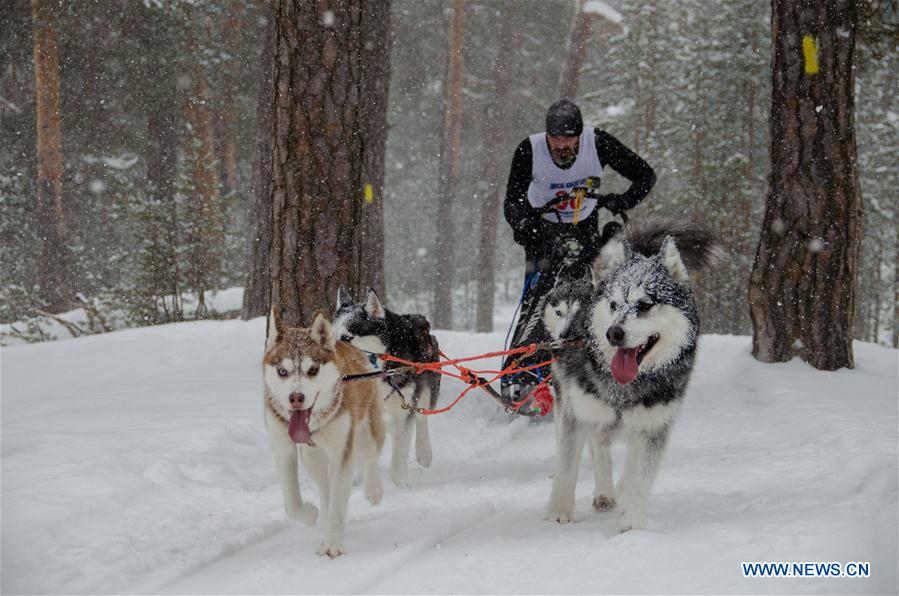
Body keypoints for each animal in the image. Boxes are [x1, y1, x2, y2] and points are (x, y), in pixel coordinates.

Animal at [262, 308, 384, 560]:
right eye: (282, 371)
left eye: (313, 370)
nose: (296, 398)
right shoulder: (283, 448)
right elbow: (292, 504)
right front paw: (309, 513)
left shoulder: (342, 451)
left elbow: (339, 501)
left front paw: (332, 545)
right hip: (311, 457)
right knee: (325, 485)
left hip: (366, 431)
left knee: (370, 456)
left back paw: (373, 489)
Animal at [332, 286, 442, 486]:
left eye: (346, 337)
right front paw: (356, 479)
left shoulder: (403, 412)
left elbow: (400, 451)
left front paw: (400, 483)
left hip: (426, 391)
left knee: (422, 418)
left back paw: (424, 452)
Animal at [544, 221, 720, 532]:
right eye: (613, 304)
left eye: (645, 305)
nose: (613, 333)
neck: (625, 386)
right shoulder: (576, 414)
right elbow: (567, 467)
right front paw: (559, 512)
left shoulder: (654, 425)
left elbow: (641, 476)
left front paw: (633, 522)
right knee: (597, 445)